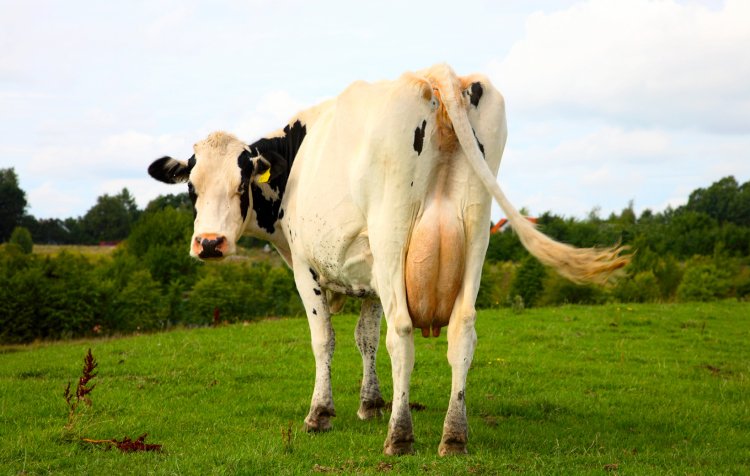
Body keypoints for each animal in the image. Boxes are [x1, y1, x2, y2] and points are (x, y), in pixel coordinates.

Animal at [148, 64, 628, 456]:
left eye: (241, 182)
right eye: (191, 186)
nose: (209, 243)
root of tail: (434, 76)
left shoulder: (307, 266)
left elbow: (326, 339)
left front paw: (322, 413)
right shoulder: (371, 273)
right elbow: (366, 337)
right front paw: (371, 403)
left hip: (393, 230)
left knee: (402, 332)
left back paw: (400, 435)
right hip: (474, 232)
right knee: (463, 331)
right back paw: (454, 435)